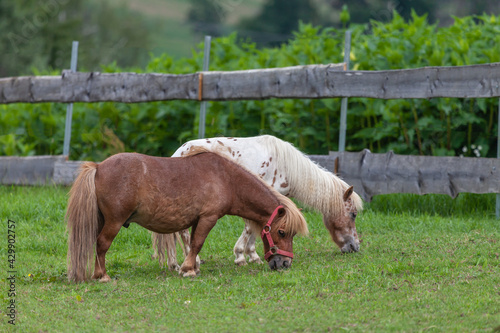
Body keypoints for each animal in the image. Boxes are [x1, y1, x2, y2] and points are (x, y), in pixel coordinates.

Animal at [66, 147, 308, 280]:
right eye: (282, 232)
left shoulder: (195, 220)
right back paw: (102, 276)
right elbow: (198, 243)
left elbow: (191, 243)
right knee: (102, 244)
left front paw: (189, 267)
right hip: (114, 222)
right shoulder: (208, 218)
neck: (226, 179)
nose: (285, 264)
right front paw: (189, 270)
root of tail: (98, 167)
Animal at [150, 134, 362, 268]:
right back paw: (194, 261)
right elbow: (252, 229)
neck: (286, 166)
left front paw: (251, 256)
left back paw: (174, 263)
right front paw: (242, 256)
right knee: (183, 232)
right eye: (353, 214)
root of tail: (177, 153)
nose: (355, 247)